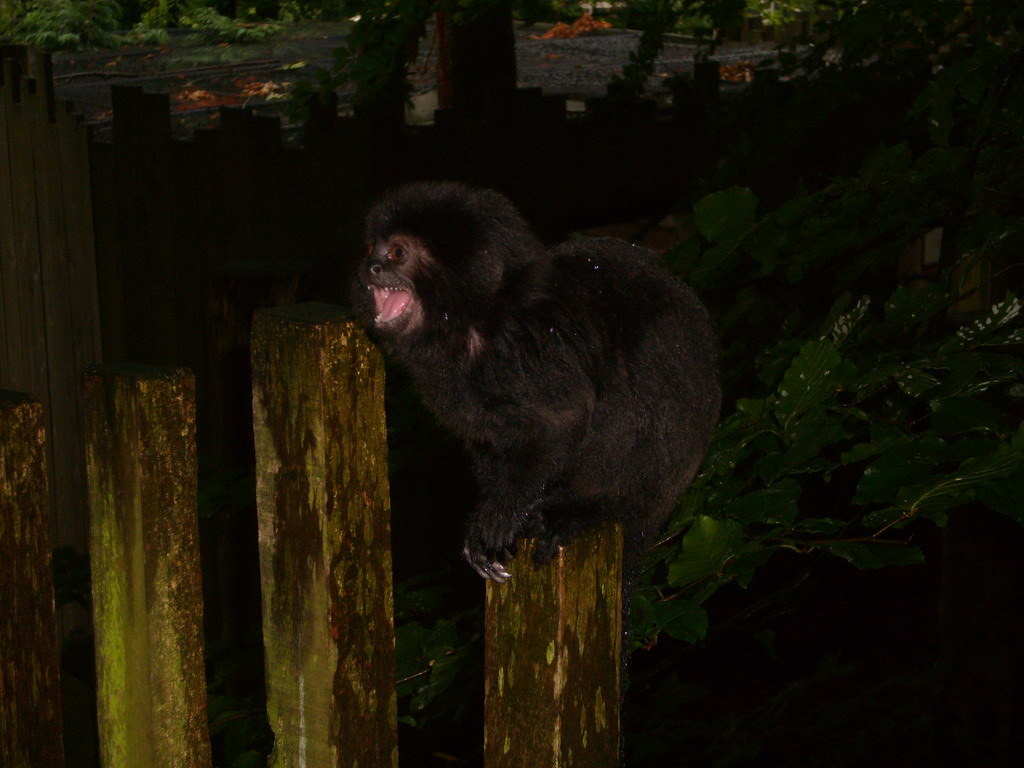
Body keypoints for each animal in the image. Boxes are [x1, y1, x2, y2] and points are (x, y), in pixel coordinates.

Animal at [352, 182, 720, 581]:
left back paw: (589, 510)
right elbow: (489, 438)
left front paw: (501, 516)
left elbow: (560, 420)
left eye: (398, 253)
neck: (475, 319)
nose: (371, 268)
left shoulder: (531, 344)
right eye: (372, 249)